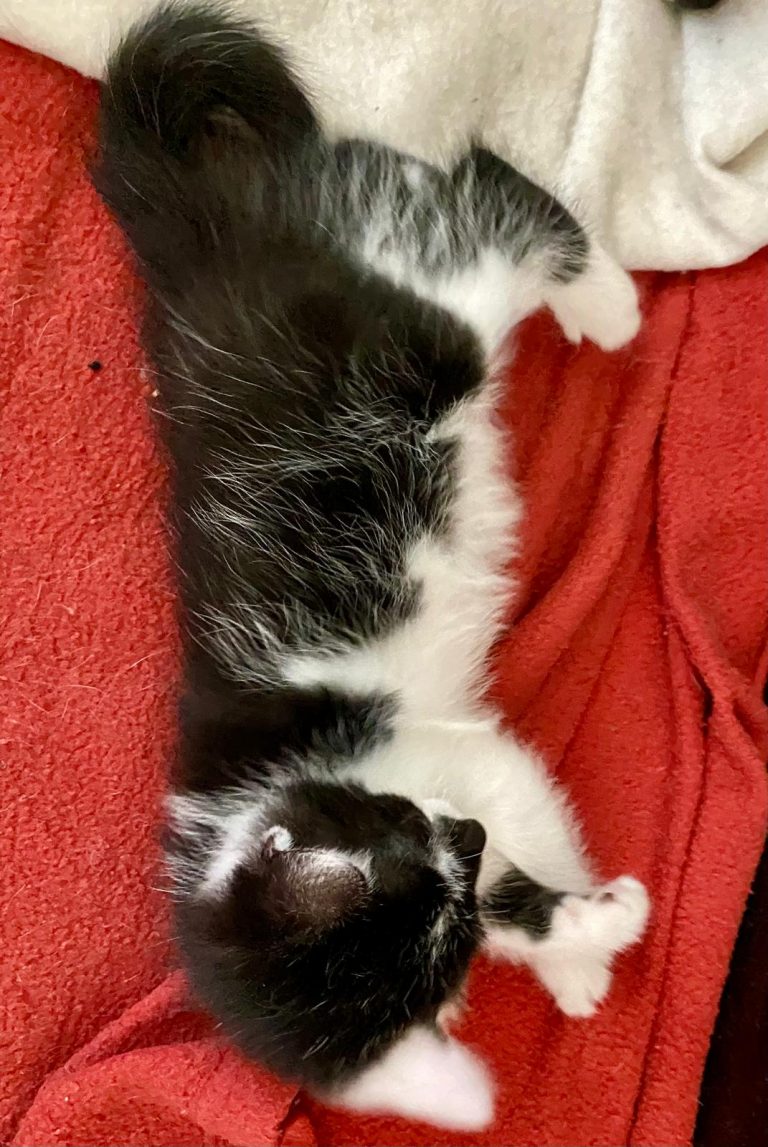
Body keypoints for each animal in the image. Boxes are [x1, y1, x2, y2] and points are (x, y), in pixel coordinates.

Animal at [93, 2, 649, 1131]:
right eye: (437, 918)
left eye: (396, 829)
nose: (463, 835)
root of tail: (213, 243)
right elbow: (516, 894)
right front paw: (570, 943)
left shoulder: (451, 755)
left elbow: (524, 797)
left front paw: (587, 937)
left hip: (417, 320)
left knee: (485, 202)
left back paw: (607, 303)